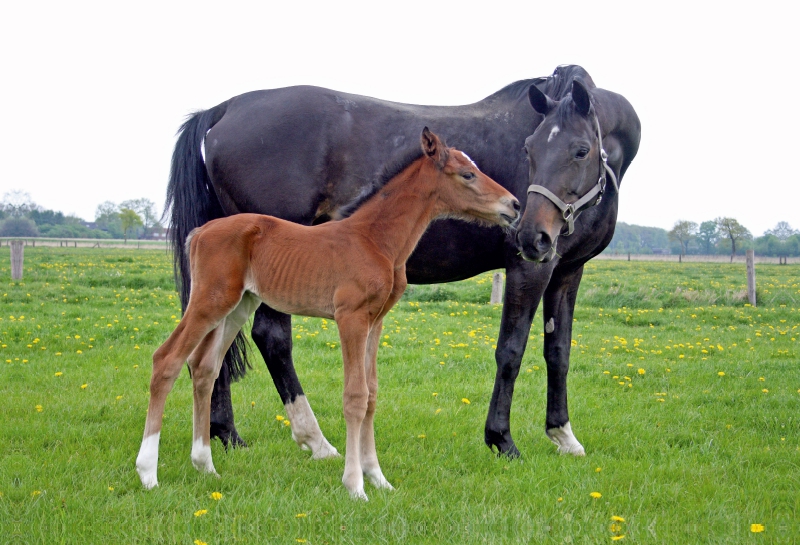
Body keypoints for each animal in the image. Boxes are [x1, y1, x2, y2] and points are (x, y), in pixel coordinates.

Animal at [134, 127, 520, 498]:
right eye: (468, 174)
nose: (514, 205)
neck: (375, 239)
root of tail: (201, 231)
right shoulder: (351, 317)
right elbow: (355, 396)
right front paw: (355, 485)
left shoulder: (376, 321)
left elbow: (372, 394)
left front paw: (378, 479)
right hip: (210, 300)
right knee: (166, 359)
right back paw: (148, 473)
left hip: (239, 305)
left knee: (204, 366)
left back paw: (205, 466)